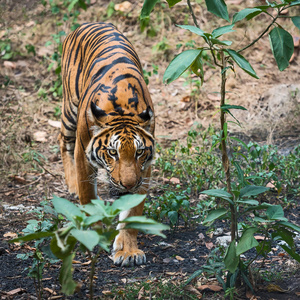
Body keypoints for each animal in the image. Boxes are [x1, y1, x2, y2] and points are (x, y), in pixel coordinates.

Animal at [60, 23, 156, 268]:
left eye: (139, 152)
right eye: (112, 152)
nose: (128, 184)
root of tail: (88, 23)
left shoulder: (144, 169)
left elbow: (133, 211)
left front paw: (128, 251)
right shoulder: (83, 156)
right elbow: (88, 197)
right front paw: (92, 233)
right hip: (70, 108)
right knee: (62, 140)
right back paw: (72, 185)